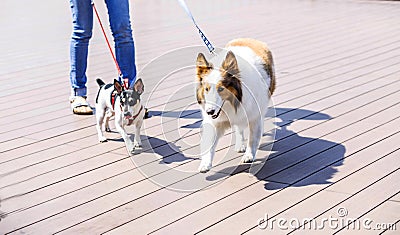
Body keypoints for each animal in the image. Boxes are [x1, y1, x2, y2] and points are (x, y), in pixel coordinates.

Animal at [195, 37, 276, 172]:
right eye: (206, 89)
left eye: (221, 89)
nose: (209, 112)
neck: (232, 104)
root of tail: (246, 38)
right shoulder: (215, 122)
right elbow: (210, 143)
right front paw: (205, 163)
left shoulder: (254, 116)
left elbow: (252, 139)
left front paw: (249, 155)